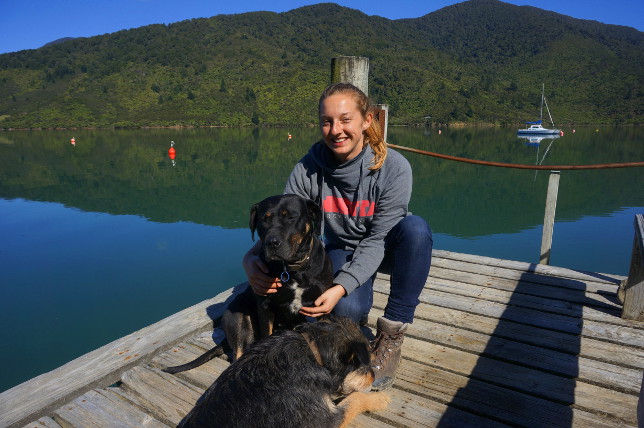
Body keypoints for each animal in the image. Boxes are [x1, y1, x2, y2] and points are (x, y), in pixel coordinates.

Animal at [162, 194, 332, 374]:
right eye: (264, 220)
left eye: (291, 217)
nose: (272, 242)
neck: (292, 269)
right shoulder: (265, 306)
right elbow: (266, 334)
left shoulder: (321, 306)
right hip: (238, 318)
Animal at [176, 314, 390, 428]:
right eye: (365, 367)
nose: (374, 377)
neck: (313, 353)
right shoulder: (325, 420)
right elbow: (355, 399)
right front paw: (381, 399)